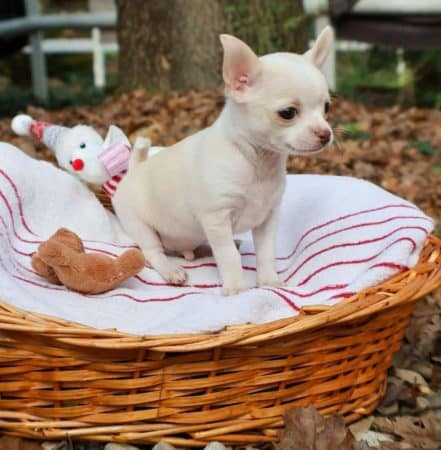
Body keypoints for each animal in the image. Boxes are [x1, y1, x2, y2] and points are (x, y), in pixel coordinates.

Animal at [113, 27, 334, 296]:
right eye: (288, 113)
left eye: (326, 108)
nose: (325, 134)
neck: (257, 162)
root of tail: (134, 170)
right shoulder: (216, 219)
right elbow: (228, 256)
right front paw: (236, 288)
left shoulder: (268, 218)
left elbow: (266, 252)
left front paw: (268, 281)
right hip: (140, 225)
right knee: (154, 252)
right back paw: (171, 270)